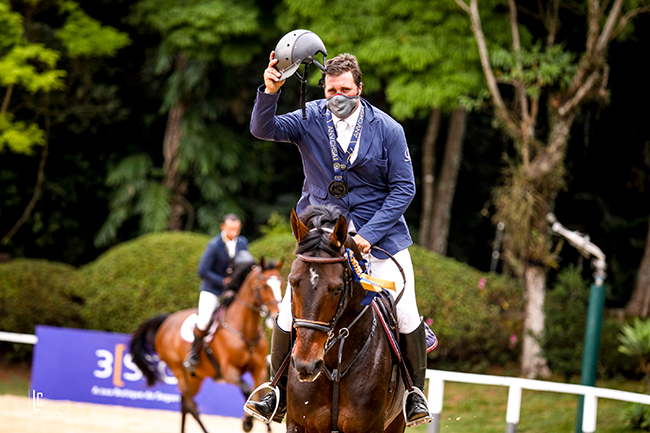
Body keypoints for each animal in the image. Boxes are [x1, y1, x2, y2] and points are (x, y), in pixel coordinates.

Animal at [130, 258, 282, 430]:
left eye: (281, 284)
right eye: (264, 286)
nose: (276, 313)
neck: (245, 330)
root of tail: (167, 321)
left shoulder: (258, 368)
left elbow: (260, 393)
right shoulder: (229, 370)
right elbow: (246, 389)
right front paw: (247, 423)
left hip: (196, 377)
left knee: (184, 404)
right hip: (179, 371)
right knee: (191, 405)